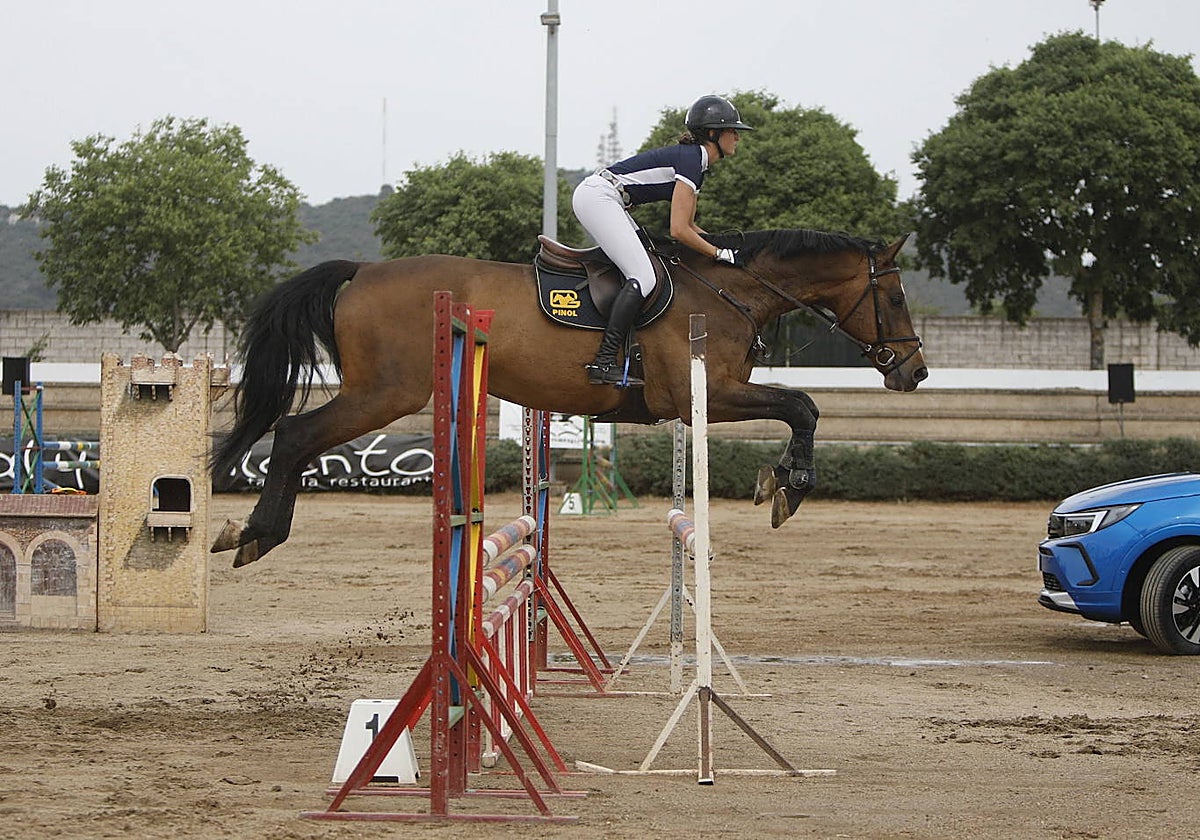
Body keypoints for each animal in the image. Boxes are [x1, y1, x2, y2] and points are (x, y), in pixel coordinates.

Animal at [211, 228, 927, 568]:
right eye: (894, 297)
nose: (914, 373)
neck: (731, 291)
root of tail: (361, 271)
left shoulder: (714, 395)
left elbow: (799, 407)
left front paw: (779, 481)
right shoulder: (707, 393)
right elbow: (802, 404)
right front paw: (791, 486)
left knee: (299, 438)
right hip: (386, 392)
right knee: (295, 435)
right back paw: (258, 533)